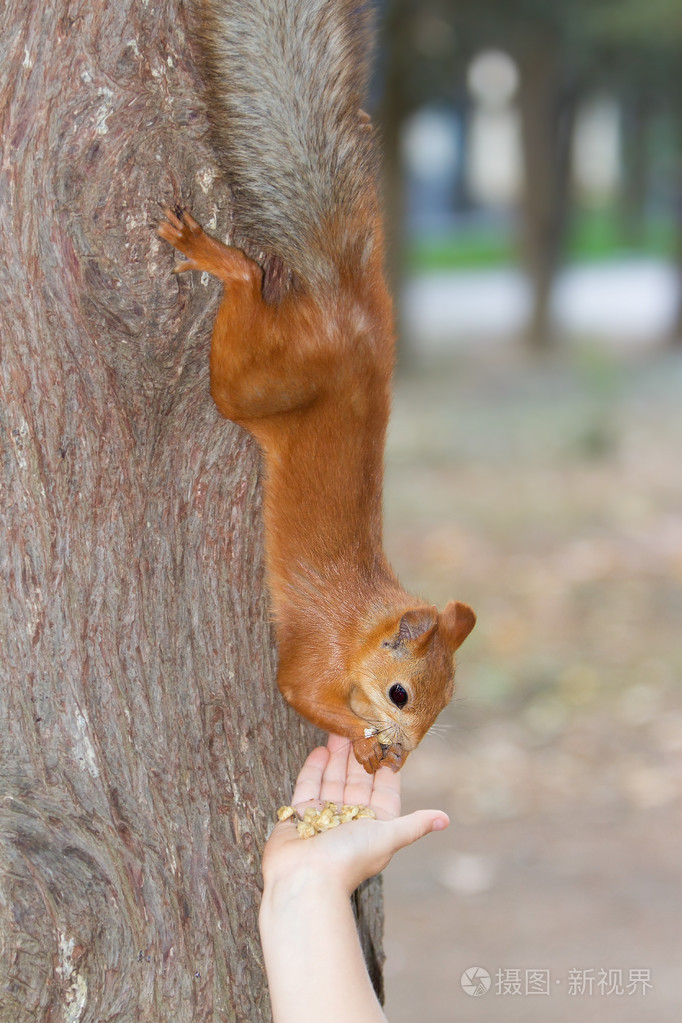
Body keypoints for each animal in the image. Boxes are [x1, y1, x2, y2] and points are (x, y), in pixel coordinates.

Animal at [158, 0, 474, 769]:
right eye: (401, 694)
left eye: (445, 705)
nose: (405, 751)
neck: (364, 624)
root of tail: (350, 309)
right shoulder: (318, 652)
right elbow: (300, 691)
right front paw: (363, 742)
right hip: (257, 382)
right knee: (248, 283)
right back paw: (218, 257)